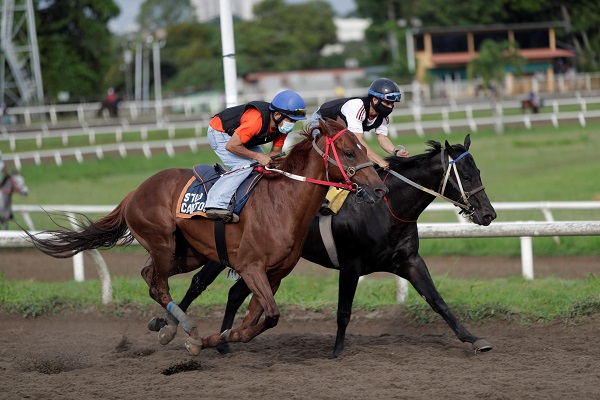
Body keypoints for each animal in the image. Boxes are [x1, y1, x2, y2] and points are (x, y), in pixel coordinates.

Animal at [25, 118, 386, 354]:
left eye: (362, 147)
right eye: (349, 152)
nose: (379, 188)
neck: (283, 202)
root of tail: (134, 192)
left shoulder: (275, 274)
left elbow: (257, 318)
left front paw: (221, 338)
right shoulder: (251, 267)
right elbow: (270, 315)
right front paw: (211, 339)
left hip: (190, 253)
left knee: (149, 275)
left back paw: (171, 327)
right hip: (162, 241)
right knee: (158, 284)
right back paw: (186, 330)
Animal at [148, 134, 494, 356]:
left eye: (479, 170)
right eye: (464, 174)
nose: (489, 214)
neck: (386, 207)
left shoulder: (409, 260)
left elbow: (438, 301)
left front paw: (473, 338)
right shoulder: (351, 265)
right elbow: (343, 311)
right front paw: (337, 351)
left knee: (234, 294)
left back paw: (222, 342)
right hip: (222, 255)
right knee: (196, 284)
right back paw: (168, 324)